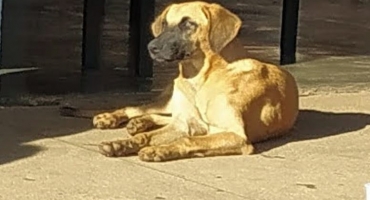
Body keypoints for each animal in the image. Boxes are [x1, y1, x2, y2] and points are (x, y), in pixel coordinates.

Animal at [60, 0, 298, 162]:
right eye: (164, 24)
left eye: (188, 24)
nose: (151, 48)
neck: (202, 79)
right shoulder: (186, 124)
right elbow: (147, 137)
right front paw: (122, 144)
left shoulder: (235, 135)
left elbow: (187, 140)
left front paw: (159, 150)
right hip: (168, 100)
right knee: (137, 108)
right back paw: (114, 118)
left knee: (162, 116)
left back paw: (140, 123)